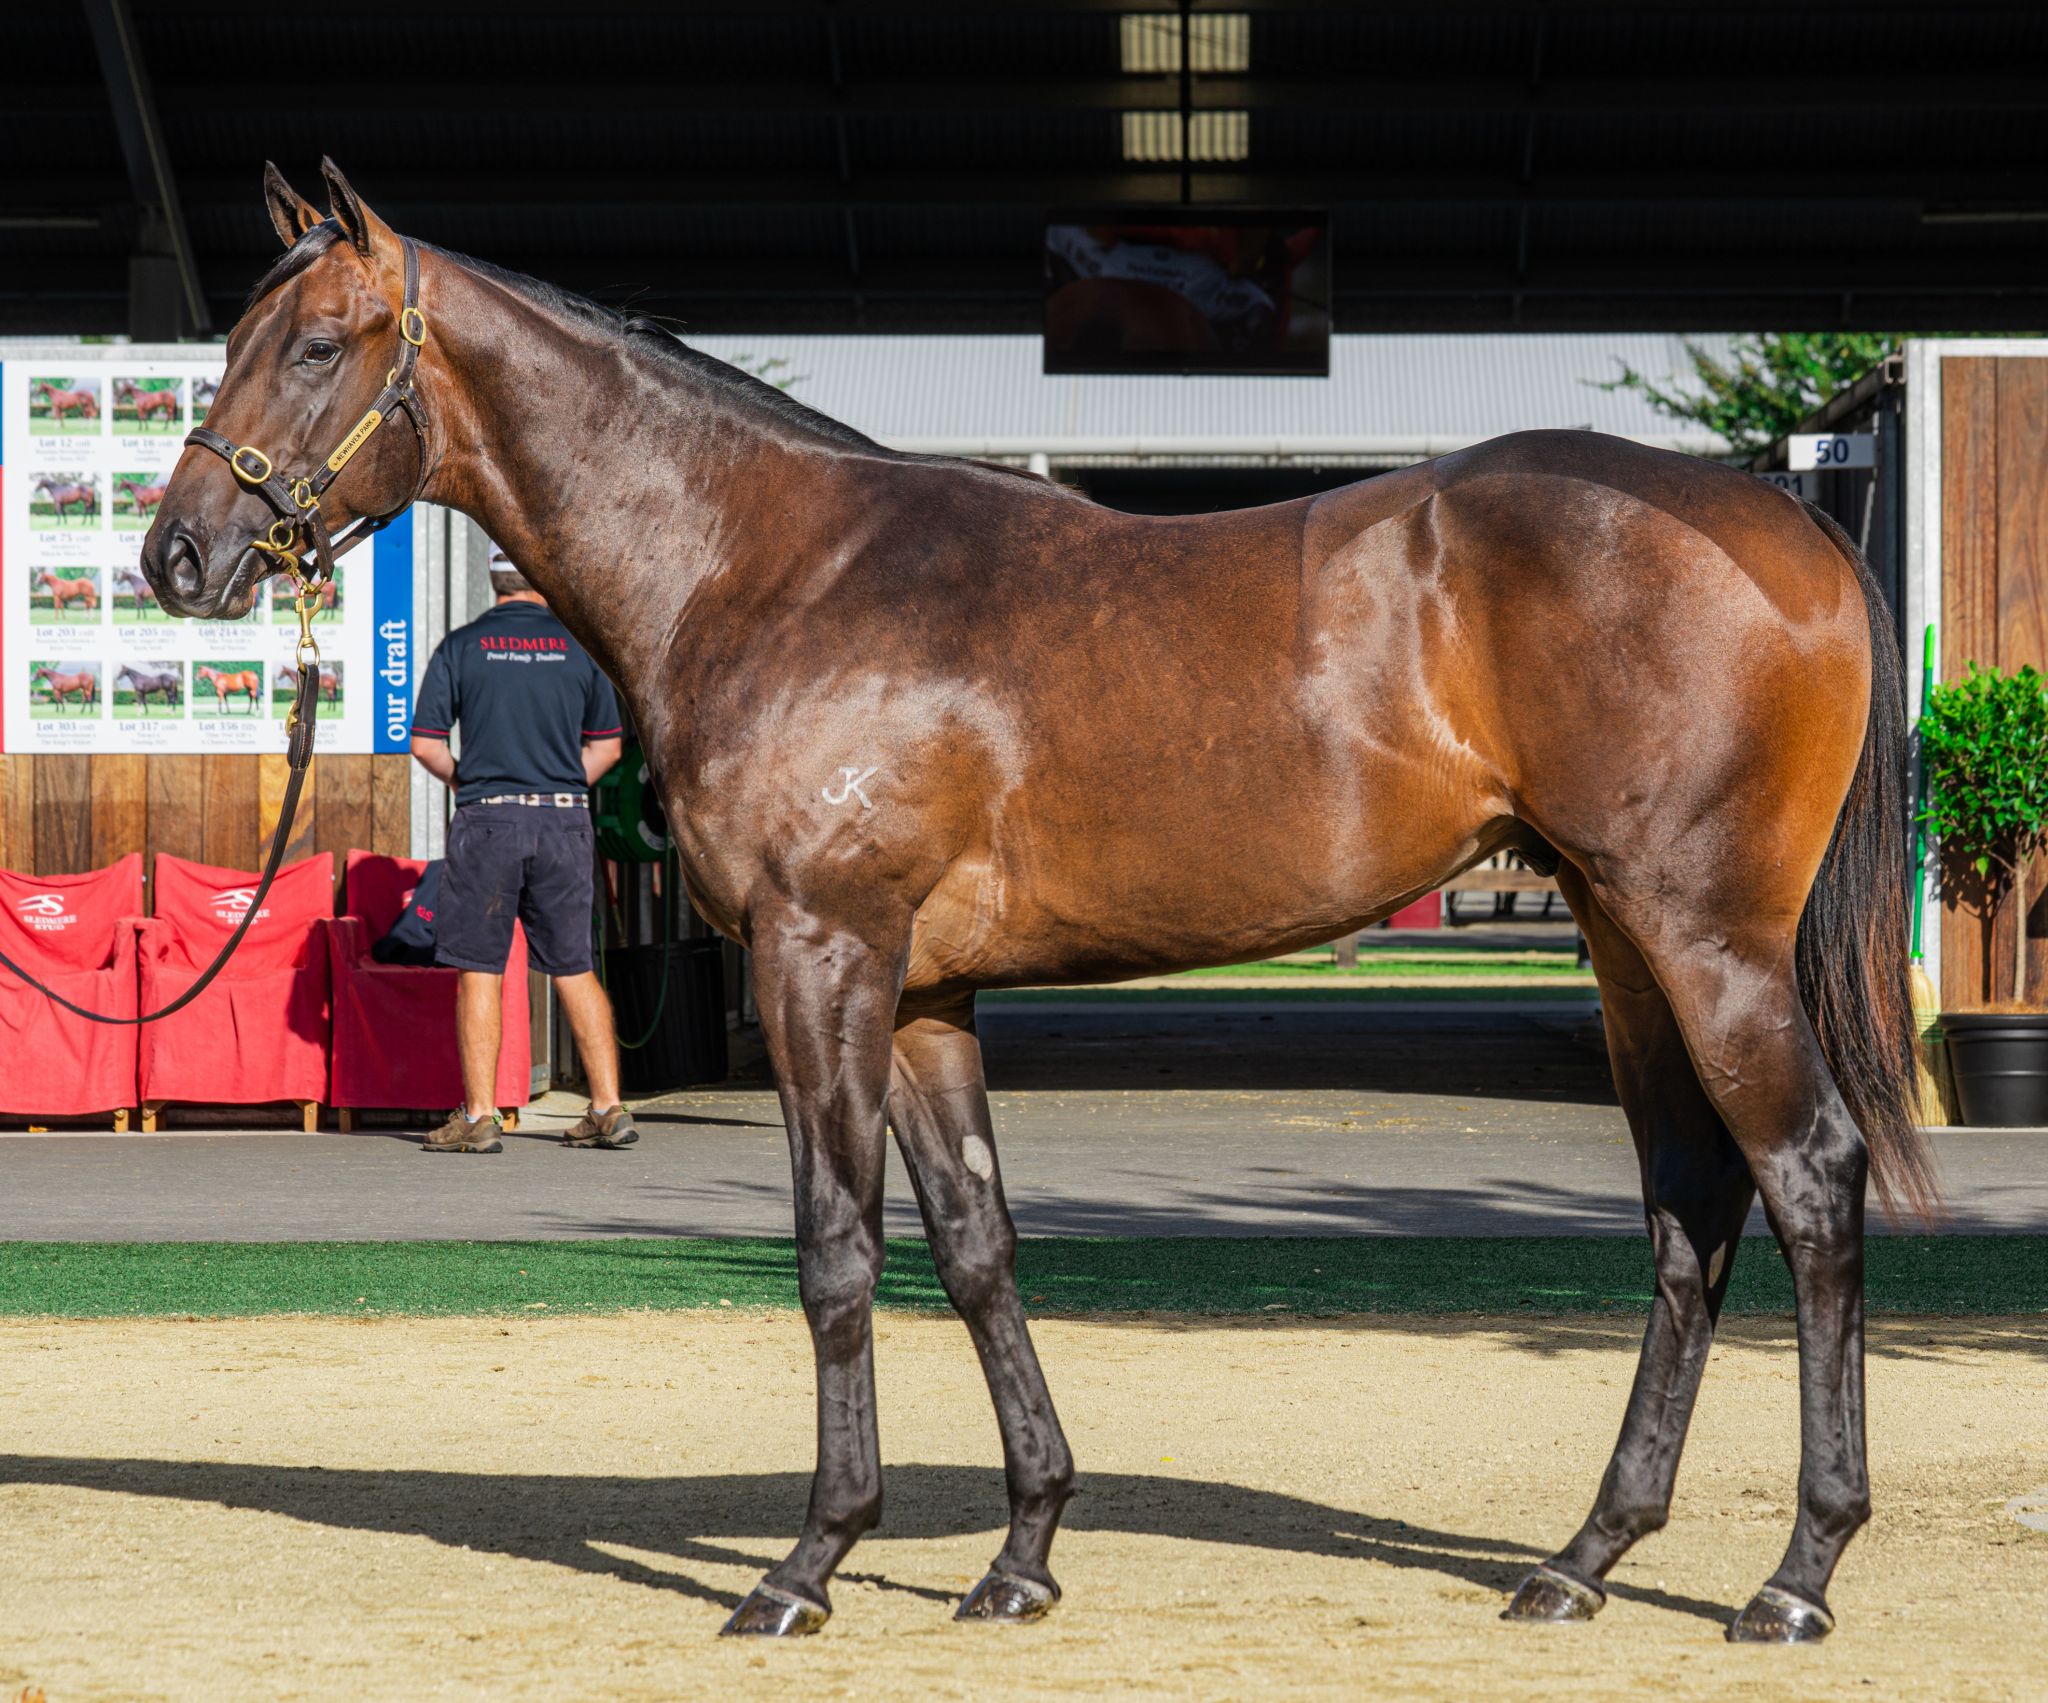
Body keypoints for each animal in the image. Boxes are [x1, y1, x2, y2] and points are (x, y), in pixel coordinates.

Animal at [144, 162, 1933, 1653]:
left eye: (319, 342)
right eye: (234, 338)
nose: (178, 556)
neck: (770, 568)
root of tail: (1784, 524)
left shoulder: (822, 959)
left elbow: (838, 1251)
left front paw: (810, 1562)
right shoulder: (926, 997)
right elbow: (978, 1246)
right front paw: (1021, 1552)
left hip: (1706, 942)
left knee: (1809, 1180)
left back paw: (1795, 1575)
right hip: (1631, 950)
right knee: (1690, 1210)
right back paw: (1583, 1556)